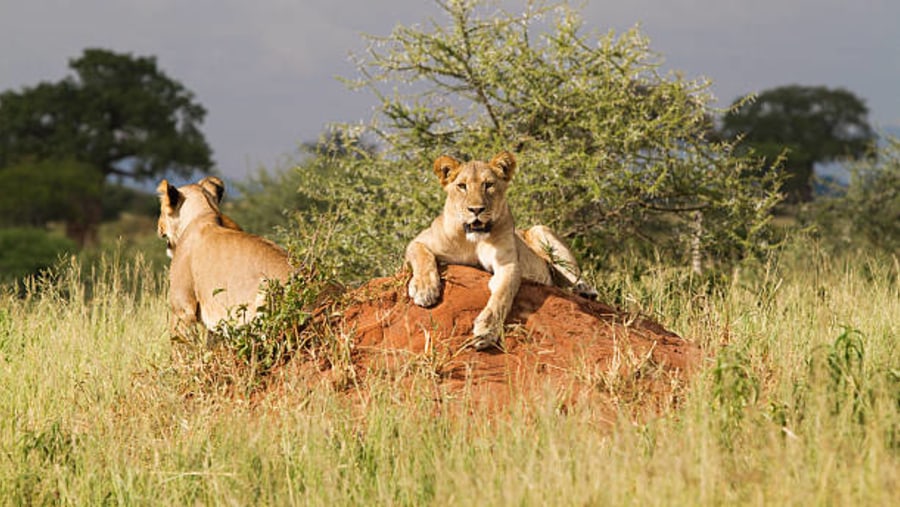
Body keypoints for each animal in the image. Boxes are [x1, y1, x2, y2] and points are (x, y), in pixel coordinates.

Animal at [408, 149, 596, 352]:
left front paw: (486, 330)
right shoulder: (419, 240)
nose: (476, 209)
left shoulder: (508, 264)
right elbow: (422, 257)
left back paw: (584, 290)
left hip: (540, 230)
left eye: (488, 185)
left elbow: (502, 295)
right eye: (462, 186)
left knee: (572, 275)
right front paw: (424, 290)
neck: (473, 241)